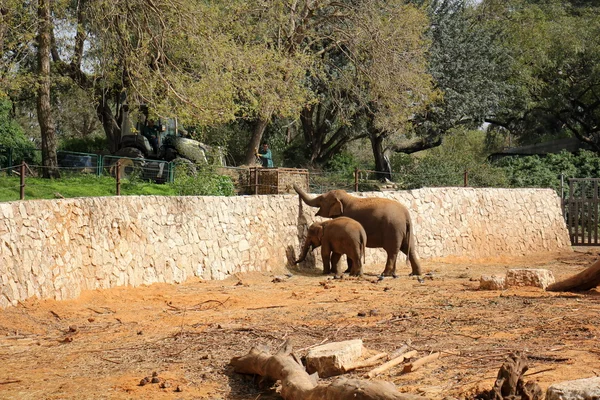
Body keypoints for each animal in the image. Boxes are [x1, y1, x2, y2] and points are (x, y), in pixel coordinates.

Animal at [292, 186, 422, 276]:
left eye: (321, 199)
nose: (294, 262)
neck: (347, 197)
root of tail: (406, 215)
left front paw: (347, 271)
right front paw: (347, 271)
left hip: (393, 229)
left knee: (392, 251)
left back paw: (385, 274)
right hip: (405, 231)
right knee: (409, 249)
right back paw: (413, 274)